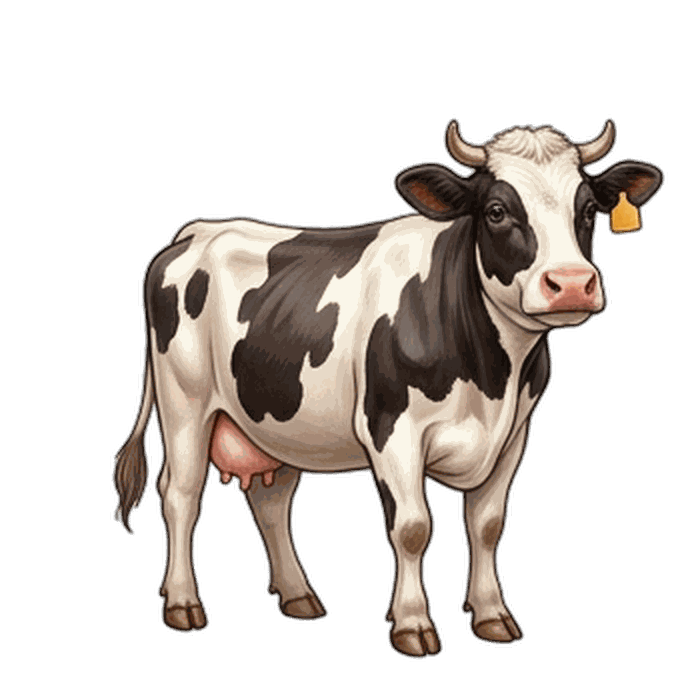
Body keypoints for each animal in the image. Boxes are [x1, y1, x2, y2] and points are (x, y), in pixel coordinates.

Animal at [112, 118, 663, 656]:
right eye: (497, 210)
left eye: (588, 209)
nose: (570, 284)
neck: (490, 377)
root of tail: (201, 229)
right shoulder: (392, 431)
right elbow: (413, 526)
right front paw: (413, 625)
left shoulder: (513, 434)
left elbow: (486, 525)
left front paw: (492, 617)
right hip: (185, 403)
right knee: (180, 494)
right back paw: (183, 604)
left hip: (276, 419)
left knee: (271, 502)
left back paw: (299, 596)